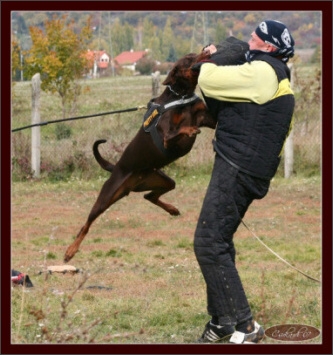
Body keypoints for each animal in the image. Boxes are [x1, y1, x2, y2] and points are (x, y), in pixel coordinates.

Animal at [63, 50, 217, 262]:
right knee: (87, 223)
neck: (181, 95)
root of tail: (117, 168)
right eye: (188, 58)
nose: (207, 50)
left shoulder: (206, 117)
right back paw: (71, 250)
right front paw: (190, 129)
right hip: (107, 195)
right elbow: (177, 131)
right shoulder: (166, 135)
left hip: (160, 180)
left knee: (149, 196)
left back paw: (172, 209)